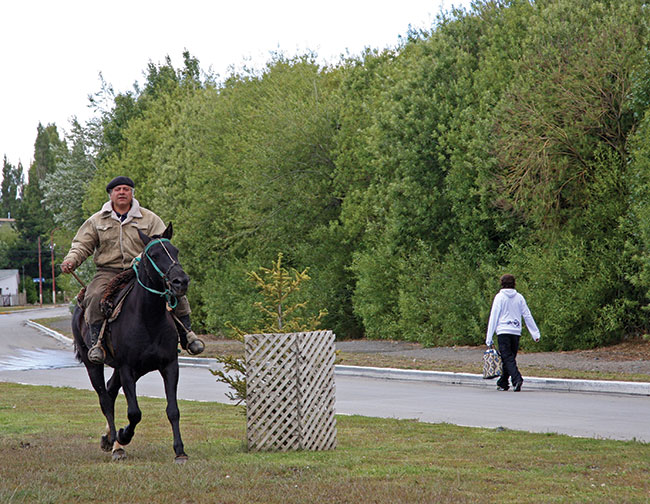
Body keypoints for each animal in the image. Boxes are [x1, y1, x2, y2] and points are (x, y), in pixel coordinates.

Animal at [74, 222, 190, 462]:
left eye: (175, 251)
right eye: (153, 255)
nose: (180, 282)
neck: (148, 317)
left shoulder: (169, 365)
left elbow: (173, 410)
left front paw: (180, 451)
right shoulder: (127, 368)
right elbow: (134, 413)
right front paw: (123, 436)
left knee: (110, 391)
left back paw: (109, 440)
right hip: (94, 366)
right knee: (105, 400)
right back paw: (115, 443)